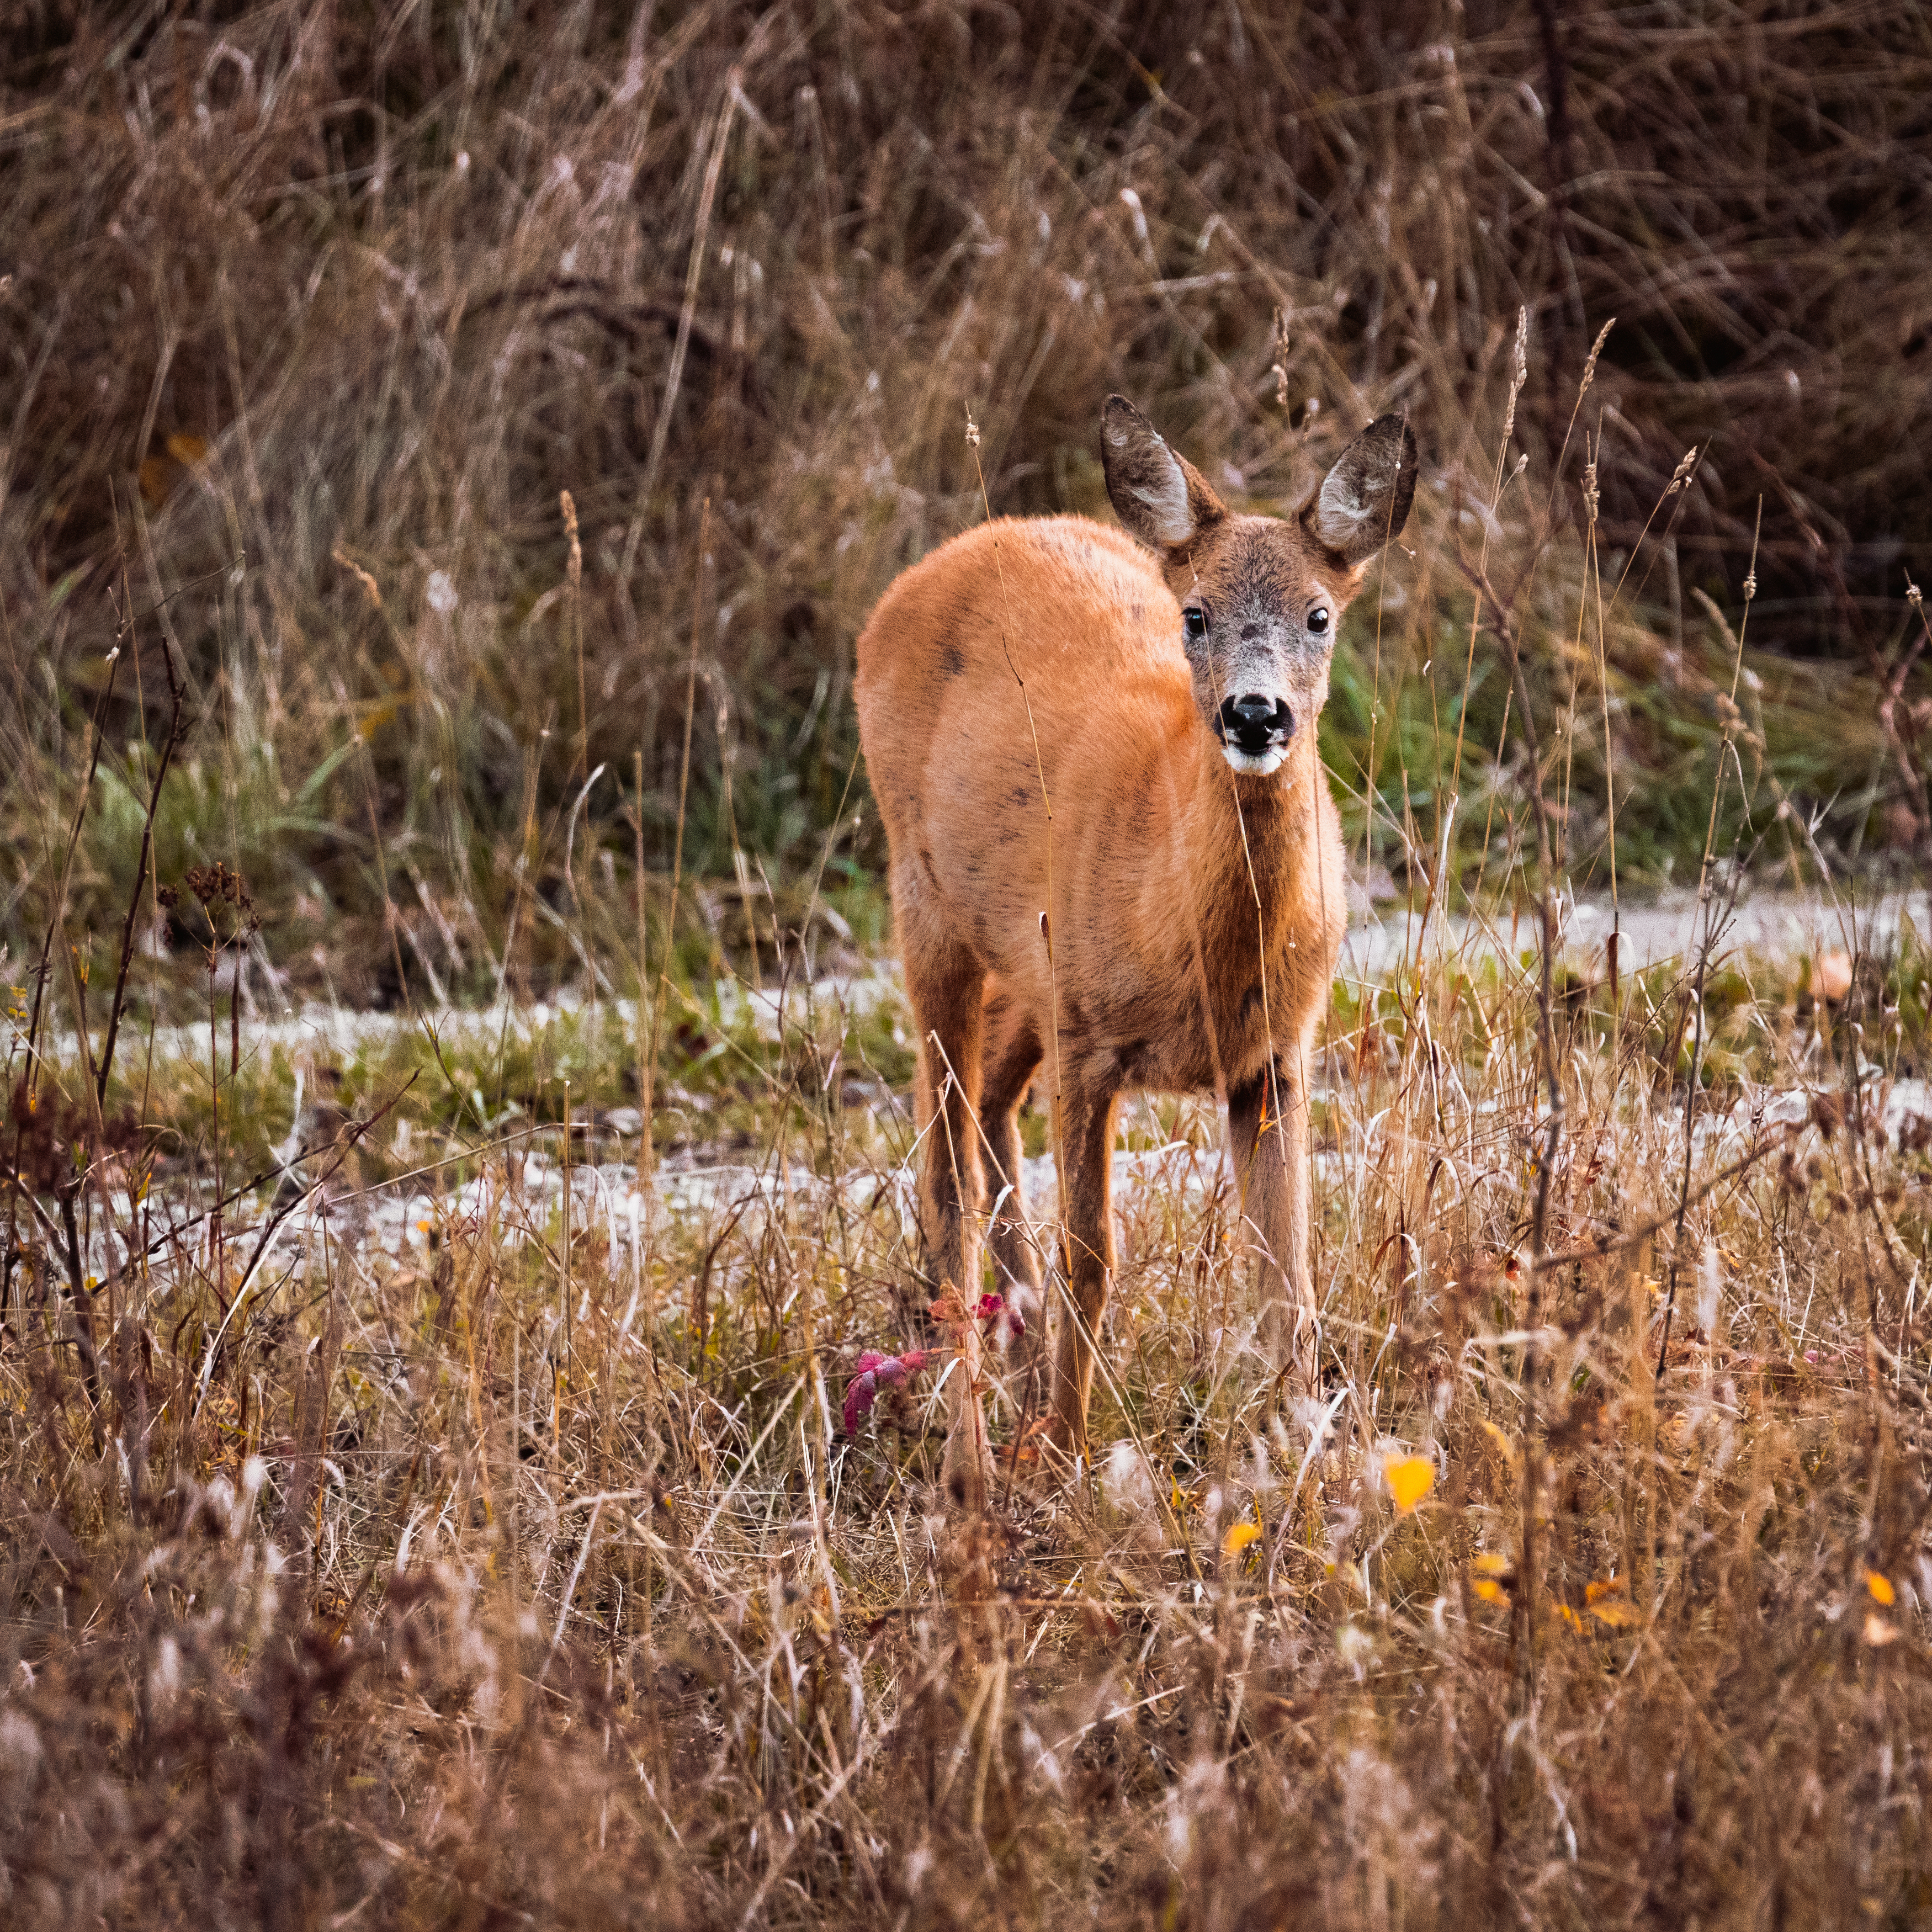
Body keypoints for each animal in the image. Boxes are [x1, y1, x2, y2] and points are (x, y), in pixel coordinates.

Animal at [858, 396, 1422, 1507]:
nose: (1256, 714)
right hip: (927, 902)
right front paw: (1067, 1451)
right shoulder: (1091, 1043)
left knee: (990, 1111)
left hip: (1028, 966)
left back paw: (1019, 1363)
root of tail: (925, 571)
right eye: (1194, 615)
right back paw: (973, 1458)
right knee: (945, 1164)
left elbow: (1286, 1262)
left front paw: (1310, 1451)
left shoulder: (1276, 1056)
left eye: (1319, 615)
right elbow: (1095, 1254)